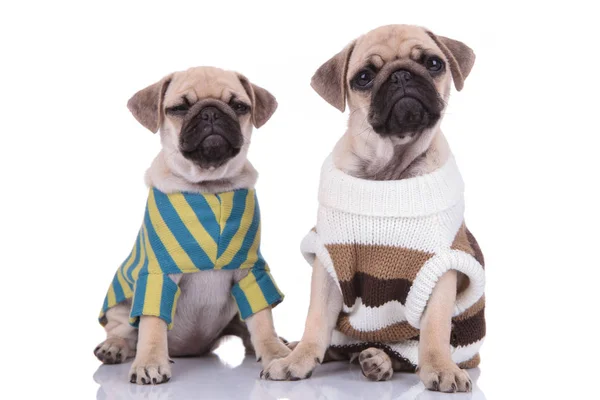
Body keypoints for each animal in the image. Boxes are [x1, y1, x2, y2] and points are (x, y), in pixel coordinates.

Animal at [94, 66, 290, 384]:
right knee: (124, 331)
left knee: (248, 329)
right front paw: (150, 362)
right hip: (120, 307)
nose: (210, 112)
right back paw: (114, 347)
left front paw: (276, 353)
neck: (208, 188)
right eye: (179, 108)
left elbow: (262, 319)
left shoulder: (250, 271)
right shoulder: (158, 274)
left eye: (239, 106)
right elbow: (152, 323)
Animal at [262, 25, 482, 394]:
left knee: (404, 352)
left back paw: (379, 359)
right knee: (335, 343)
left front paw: (440, 366)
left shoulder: (440, 269)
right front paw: (298, 361)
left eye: (434, 63)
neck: (387, 170)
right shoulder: (329, 264)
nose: (402, 75)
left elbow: (435, 328)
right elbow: (316, 322)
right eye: (364, 77)